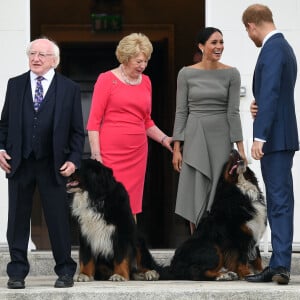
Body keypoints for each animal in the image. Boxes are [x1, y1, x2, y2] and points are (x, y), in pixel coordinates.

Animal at [159, 150, 268, 282]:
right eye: (226, 164)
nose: (234, 151)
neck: (241, 191)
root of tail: (174, 267)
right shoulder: (239, 236)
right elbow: (241, 258)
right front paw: (247, 274)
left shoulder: (253, 231)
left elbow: (257, 257)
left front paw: (261, 271)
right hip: (212, 248)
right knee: (197, 272)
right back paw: (224, 275)